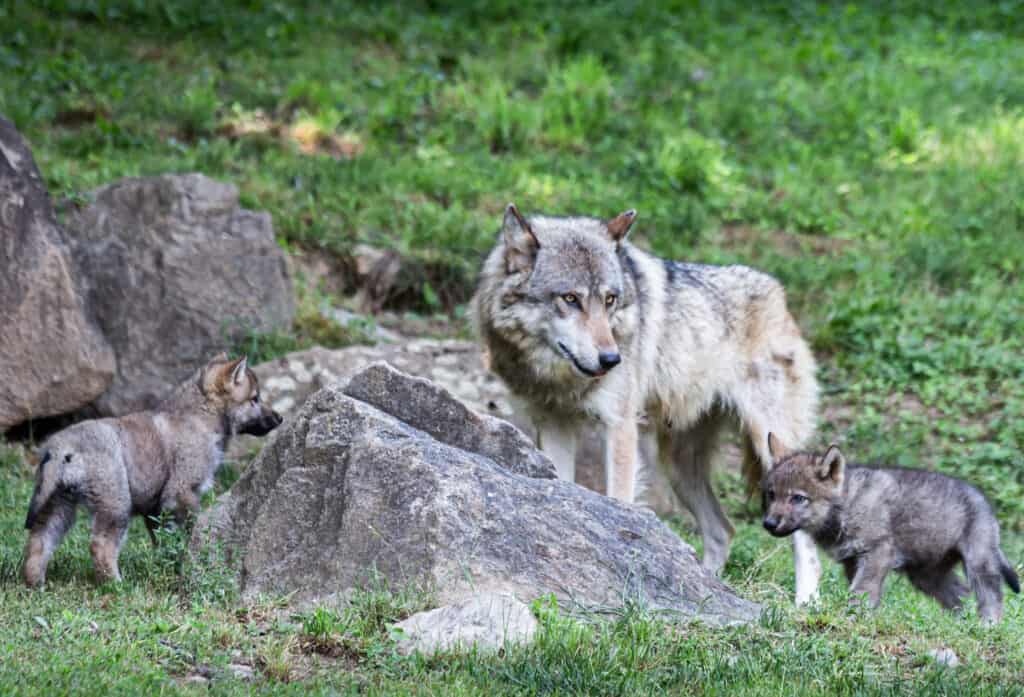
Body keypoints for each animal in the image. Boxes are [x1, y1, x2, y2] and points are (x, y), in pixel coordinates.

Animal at [22, 354, 282, 588]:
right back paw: (115, 585)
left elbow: (165, 542)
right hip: (115, 505)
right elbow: (191, 531)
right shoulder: (181, 493)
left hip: (58, 505)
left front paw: (170, 567)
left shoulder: (155, 508)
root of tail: (62, 445)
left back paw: (35, 583)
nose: (280, 418)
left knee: (38, 541)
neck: (200, 417)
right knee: (100, 546)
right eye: (255, 399)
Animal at [472, 204, 822, 603]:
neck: (559, 376)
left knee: (805, 537)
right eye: (571, 298)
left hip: (769, 444)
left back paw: (805, 604)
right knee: (723, 530)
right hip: (677, 466)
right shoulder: (555, 424)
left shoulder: (620, 427)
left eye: (609, 299)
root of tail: (779, 294)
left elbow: (620, 501)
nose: (612, 359)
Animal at [762, 434, 1020, 623]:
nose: (768, 523)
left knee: (992, 597)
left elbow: (862, 590)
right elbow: (864, 591)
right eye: (771, 494)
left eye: (797, 498)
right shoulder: (852, 561)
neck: (847, 506)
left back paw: (988, 626)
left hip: (979, 564)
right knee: (960, 598)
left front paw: (854, 617)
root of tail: (985, 502)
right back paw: (961, 626)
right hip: (927, 577)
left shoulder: (877, 552)